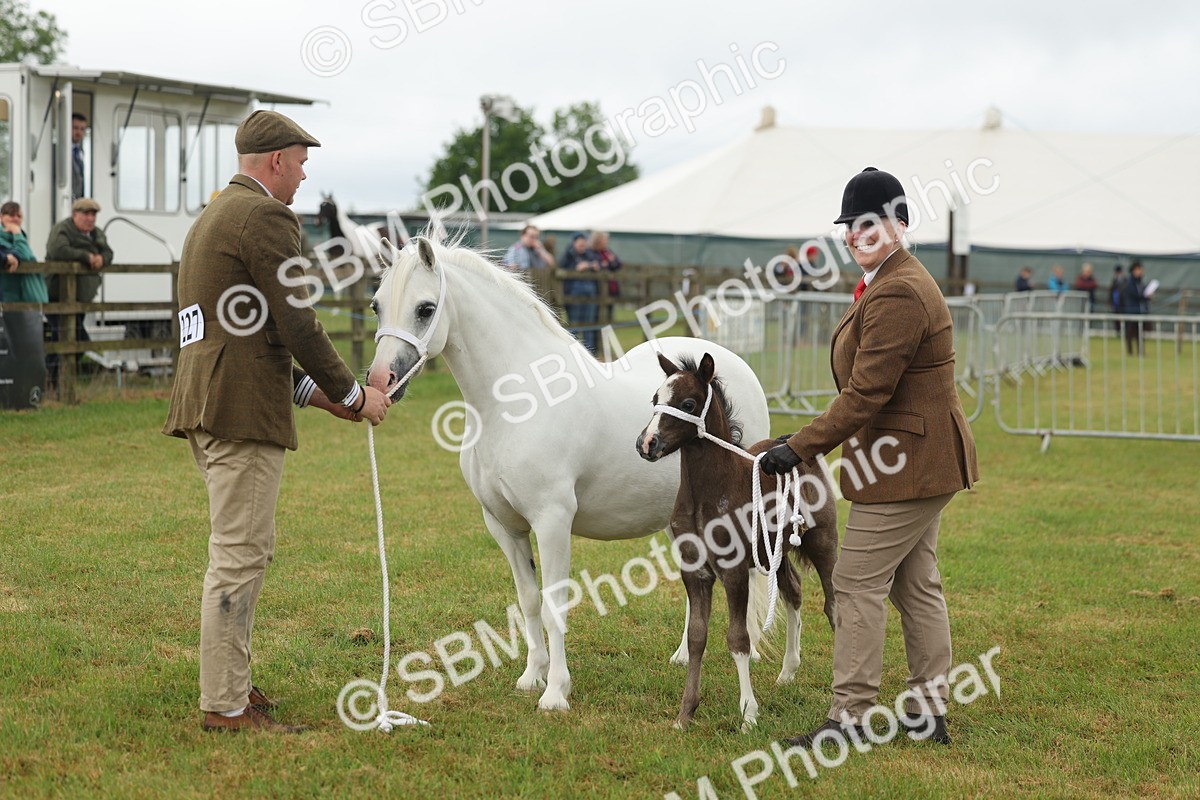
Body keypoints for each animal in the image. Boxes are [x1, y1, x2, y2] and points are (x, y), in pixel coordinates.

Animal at [366, 235, 772, 711]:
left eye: (426, 308)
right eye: (376, 305)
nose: (380, 381)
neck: (517, 401)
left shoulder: (552, 520)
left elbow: (554, 603)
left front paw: (556, 691)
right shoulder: (504, 525)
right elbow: (528, 601)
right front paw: (532, 675)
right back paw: (678, 655)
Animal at [636, 351, 838, 731]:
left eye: (688, 403)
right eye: (655, 400)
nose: (646, 443)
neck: (705, 495)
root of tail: (788, 442)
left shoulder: (733, 571)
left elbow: (738, 639)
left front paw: (748, 714)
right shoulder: (695, 571)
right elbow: (696, 637)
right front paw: (685, 713)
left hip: (823, 543)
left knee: (835, 606)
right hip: (774, 553)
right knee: (793, 591)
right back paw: (787, 672)